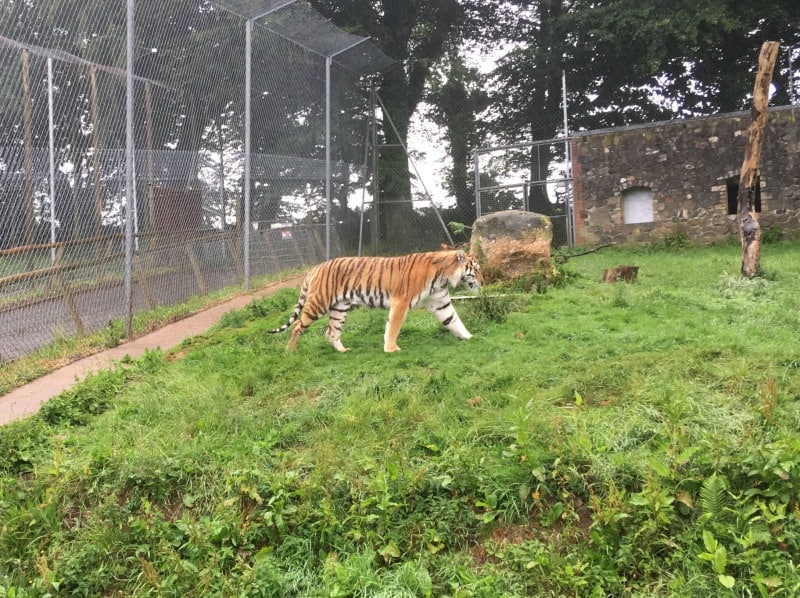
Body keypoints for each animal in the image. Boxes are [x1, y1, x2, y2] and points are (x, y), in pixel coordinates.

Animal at [268, 251, 482, 354]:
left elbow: (454, 321)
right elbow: (394, 326)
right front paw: (391, 349)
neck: (443, 276)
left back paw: (343, 351)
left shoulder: (440, 302)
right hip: (318, 303)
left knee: (331, 331)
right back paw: (289, 351)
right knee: (297, 325)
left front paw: (471, 337)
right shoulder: (401, 301)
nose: (483, 281)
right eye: (476, 269)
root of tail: (315, 267)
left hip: (339, 308)